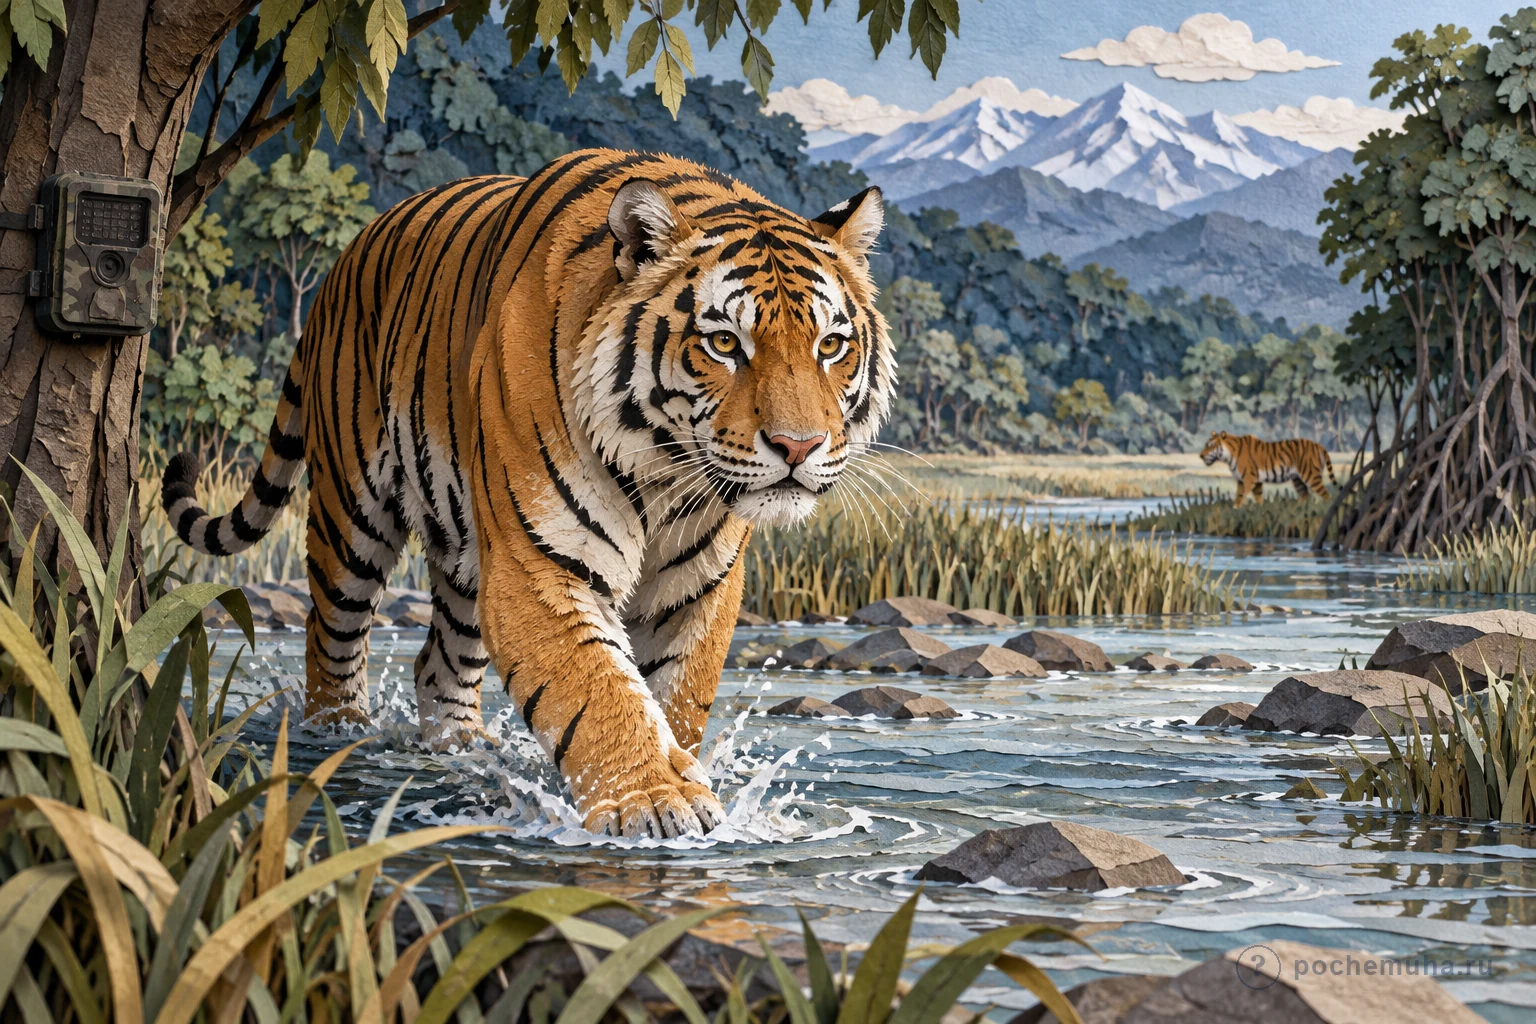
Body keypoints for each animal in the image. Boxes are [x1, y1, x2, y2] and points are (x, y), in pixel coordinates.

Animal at [161, 149, 894, 838]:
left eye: (831, 345)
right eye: (722, 343)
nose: (799, 446)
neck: (663, 470)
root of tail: (345, 256)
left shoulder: (698, 585)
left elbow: (673, 695)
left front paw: (680, 776)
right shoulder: (537, 563)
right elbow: (601, 690)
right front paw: (656, 802)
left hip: (465, 553)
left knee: (438, 663)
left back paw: (460, 749)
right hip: (352, 517)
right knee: (330, 638)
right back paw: (339, 738)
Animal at [1199, 431, 1335, 506]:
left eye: (1210, 446)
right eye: (1206, 445)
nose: (1201, 455)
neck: (1228, 456)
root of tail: (1319, 445)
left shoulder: (1248, 479)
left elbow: (1242, 497)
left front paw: (1237, 509)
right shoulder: (1250, 481)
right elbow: (1256, 498)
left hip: (1311, 476)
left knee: (1326, 495)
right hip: (1298, 480)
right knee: (1305, 496)